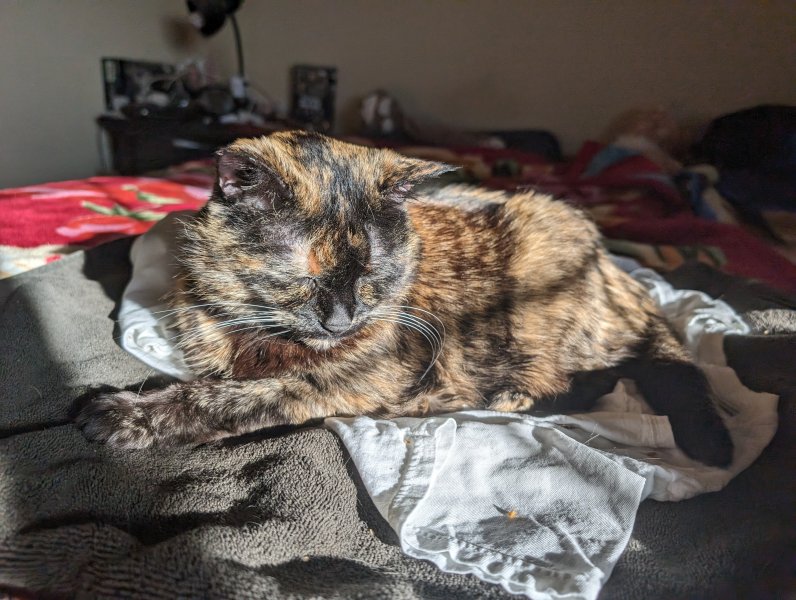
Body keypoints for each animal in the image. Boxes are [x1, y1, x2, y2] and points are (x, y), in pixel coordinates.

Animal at [77, 130, 733, 466]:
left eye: (373, 268)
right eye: (304, 271)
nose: (341, 319)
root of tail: (619, 271)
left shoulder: (351, 378)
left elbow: (232, 399)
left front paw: (125, 416)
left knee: (623, 369)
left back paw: (515, 396)